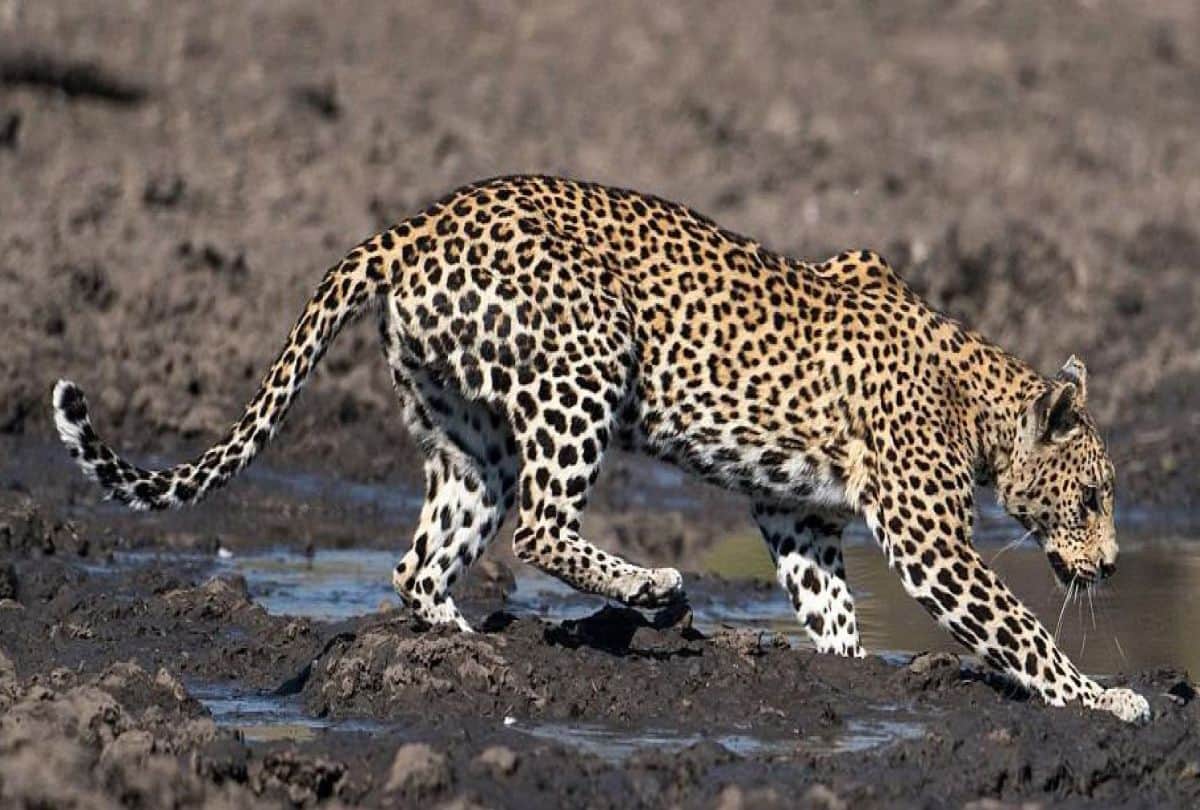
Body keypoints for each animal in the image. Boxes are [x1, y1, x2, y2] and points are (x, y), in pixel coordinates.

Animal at [51, 174, 1149, 723]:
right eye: (1094, 495)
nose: (1112, 566)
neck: (984, 404)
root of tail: (411, 225)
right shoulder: (928, 537)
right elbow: (1018, 627)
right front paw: (1101, 696)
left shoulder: (795, 511)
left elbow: (828, 600)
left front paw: (847, 667)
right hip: (590, 357)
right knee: (539, 527)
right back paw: (653, 590)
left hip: (471, 438)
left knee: (423, 558)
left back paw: (462, 641)